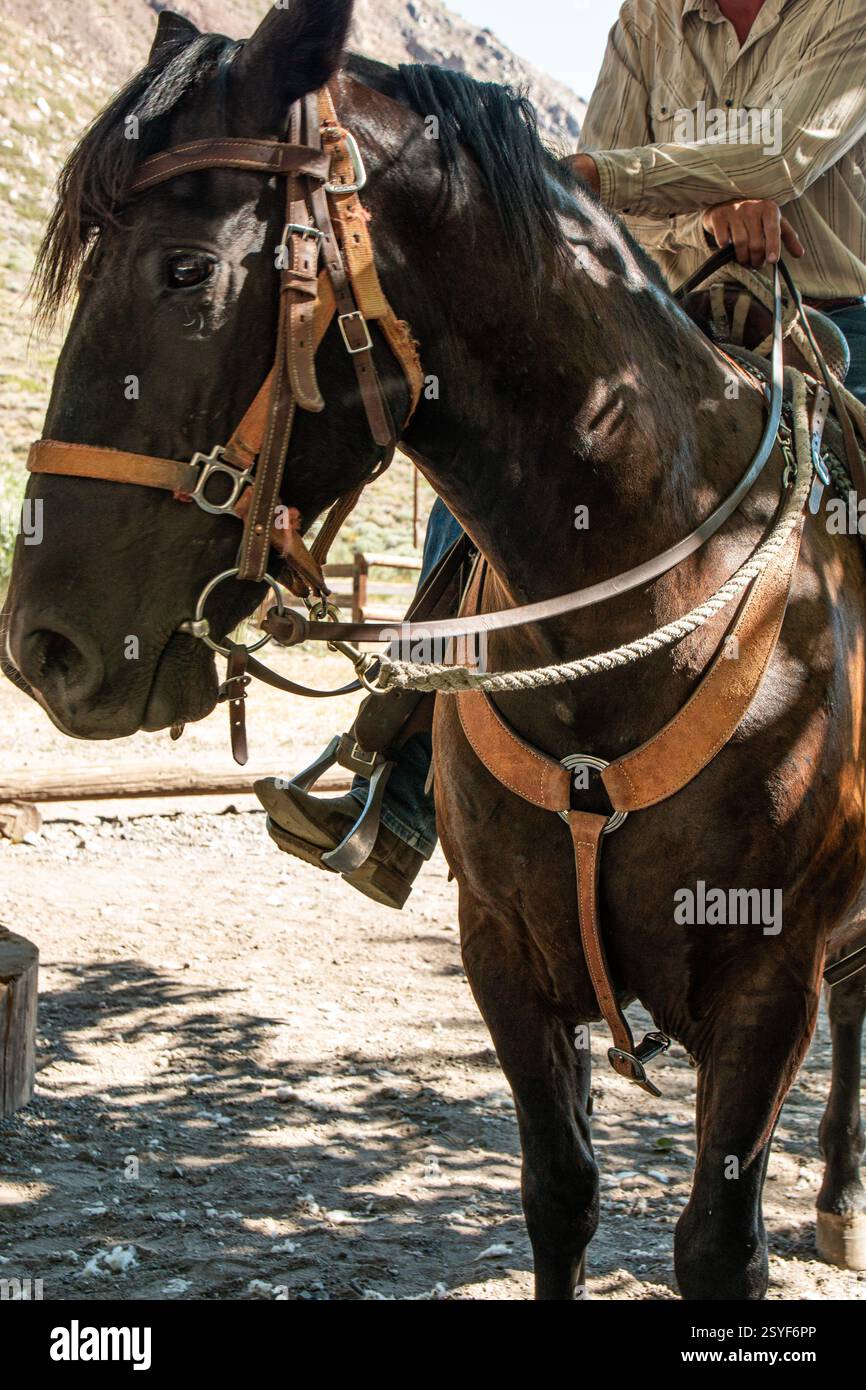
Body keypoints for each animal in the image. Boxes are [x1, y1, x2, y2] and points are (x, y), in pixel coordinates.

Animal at [3, 0, 865, 1299]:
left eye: (187, 269)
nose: (43, 644)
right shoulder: (502, 951)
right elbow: (559, 1195)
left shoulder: (766, 982)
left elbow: (718, 1246)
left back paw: (839, 1198)